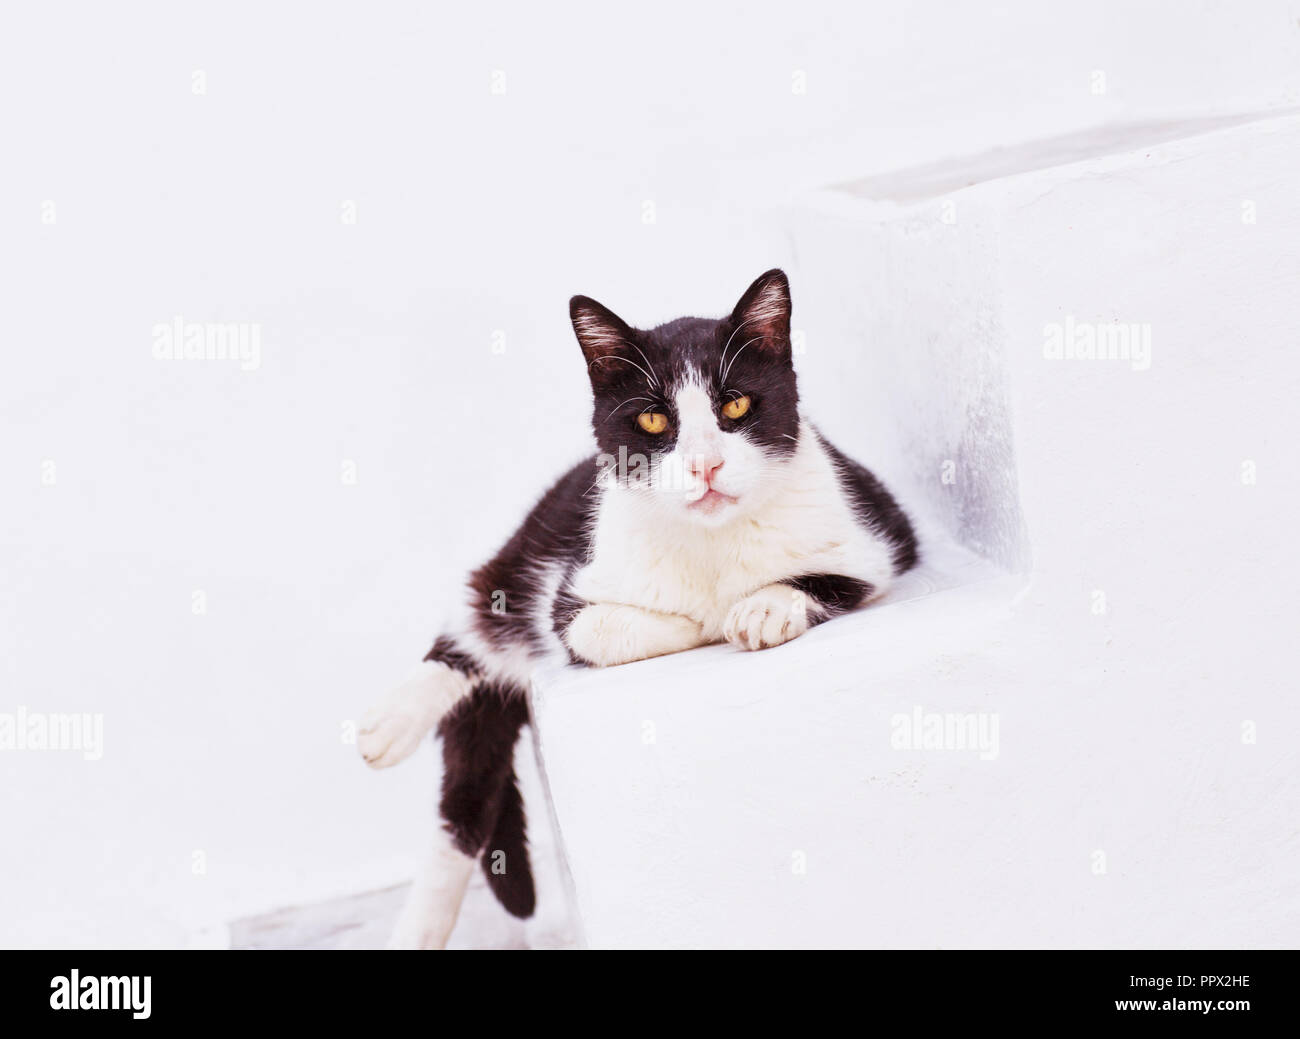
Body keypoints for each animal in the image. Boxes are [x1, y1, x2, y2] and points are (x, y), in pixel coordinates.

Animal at [361, 270, 920, 951]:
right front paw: (697, 622)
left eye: (736, 406)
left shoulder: (882, 535)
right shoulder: (571, 589)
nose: (706, 464)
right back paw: (389, 732)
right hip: (519, 565)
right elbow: (591, 627)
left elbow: (835, 578)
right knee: (469, 650)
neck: (712, 541)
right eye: (654, 418)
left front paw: (760, 609)